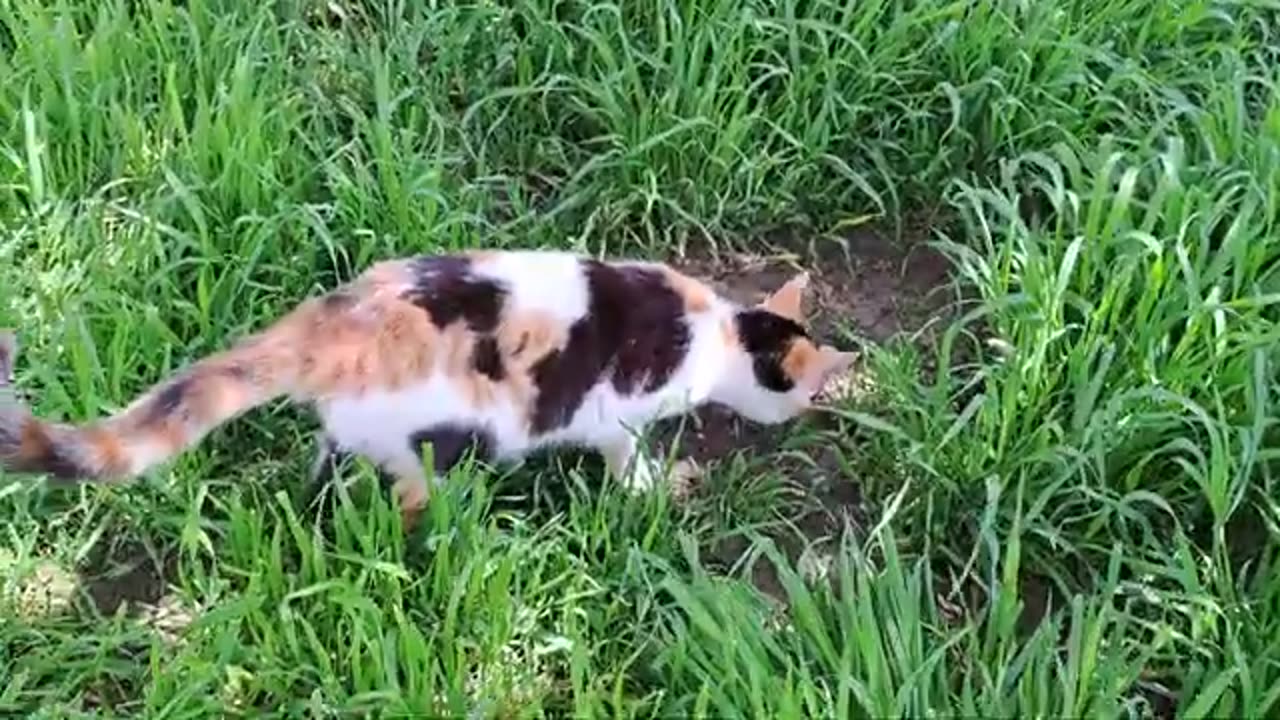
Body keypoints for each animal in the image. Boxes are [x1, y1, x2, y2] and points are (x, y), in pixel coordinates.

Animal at [2, 249, 860, 525]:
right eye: (805, 393)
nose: (810, 413)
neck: (721, 338)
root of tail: (338, 323)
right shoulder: (616, 410)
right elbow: (624, 451)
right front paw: (656, 484)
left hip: (356, 426)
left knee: (327, 464)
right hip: (448, 435)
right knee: (410, 493)